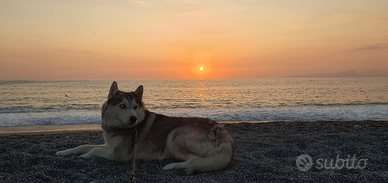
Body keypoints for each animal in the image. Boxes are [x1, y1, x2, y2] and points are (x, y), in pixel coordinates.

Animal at [56, 81, 233, 174]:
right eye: (122, 106)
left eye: (135, 106)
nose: (133, 118)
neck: (119, 127)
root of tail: (223, 133)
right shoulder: (109, 146)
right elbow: (83, 145)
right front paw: (64, 152)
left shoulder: (118, 154)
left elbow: (93, 150)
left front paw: (85, 156)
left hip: (174, 137)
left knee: (195, 160)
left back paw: (172, 166)